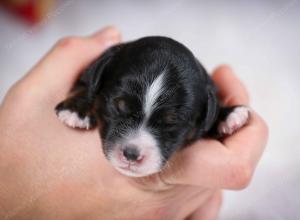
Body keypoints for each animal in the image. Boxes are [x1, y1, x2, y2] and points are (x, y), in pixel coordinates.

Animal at [55, 36, 250, 177]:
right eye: (119, 105)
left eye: (171, 122)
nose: (131, 154)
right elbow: (85, 86)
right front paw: (77, 109)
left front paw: (228, 115)